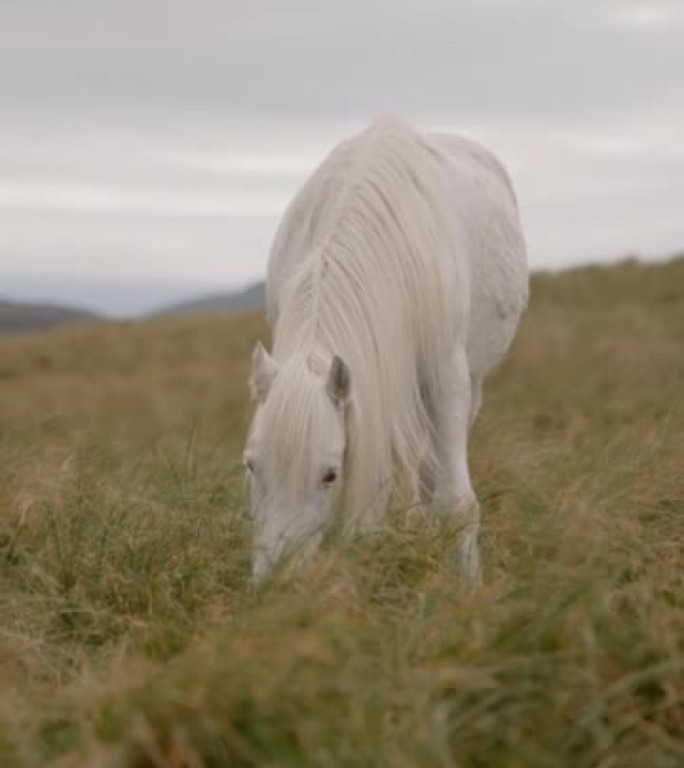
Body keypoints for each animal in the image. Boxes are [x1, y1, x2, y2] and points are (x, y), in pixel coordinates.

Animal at [246, 115, 528, 584]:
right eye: (252, 466)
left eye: (329, 475)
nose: (278, 582)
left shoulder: (446, 380)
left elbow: (457, 502)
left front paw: (467, 586)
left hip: (469, 385)